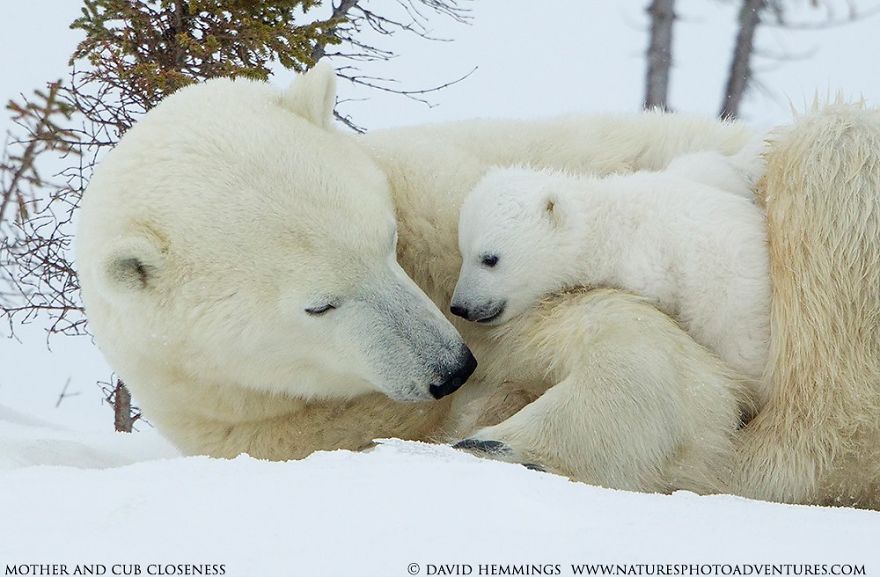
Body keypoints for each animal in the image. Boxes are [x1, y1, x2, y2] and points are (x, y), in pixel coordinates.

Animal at [77, 62, 880, 504]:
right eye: (319, 303)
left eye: (387, 240)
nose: (448, 367)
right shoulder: (288, 425)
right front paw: (488, 424)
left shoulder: (460, 202)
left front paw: (508, 442)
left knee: (829, 148)